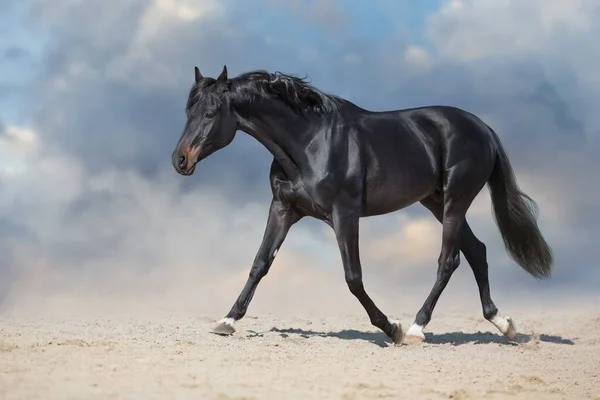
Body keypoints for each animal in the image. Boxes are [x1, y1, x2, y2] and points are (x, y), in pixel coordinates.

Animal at [170, 65, 552, 344]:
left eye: (211, 112)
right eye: (187, 111)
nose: (180, 160)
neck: (309, 142)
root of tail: (482, 128)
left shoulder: (344, 214)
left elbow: (353, 277)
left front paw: (392, 329)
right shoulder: (283, 209)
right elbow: (260, 264)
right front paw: (226, 321)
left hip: (456, 202)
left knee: (449, 260)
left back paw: (416, 328)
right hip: (436, 203)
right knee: (477, 251)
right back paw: (503, 324)